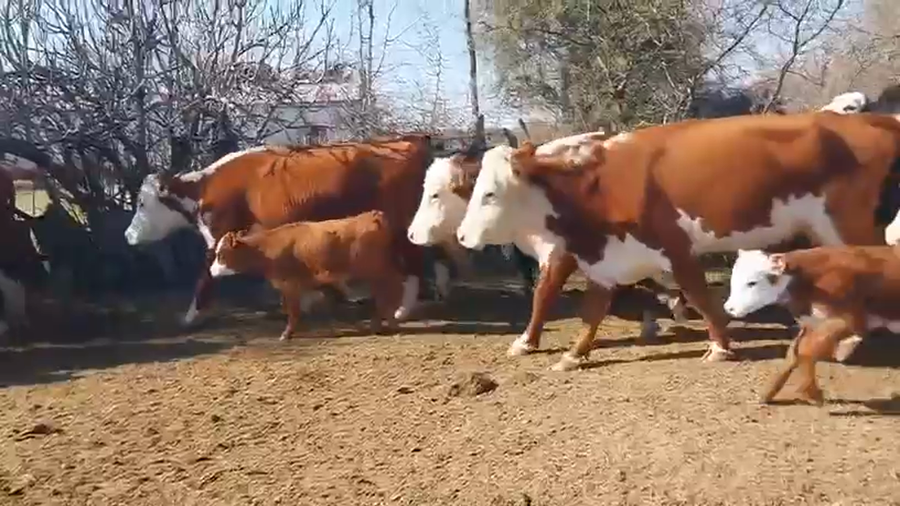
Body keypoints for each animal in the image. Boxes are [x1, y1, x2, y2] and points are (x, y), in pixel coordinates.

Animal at [124, 136, 456, 326]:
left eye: (141, 203)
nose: (128, 235)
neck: (208, 187)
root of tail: (409, 141)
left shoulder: (220, 236)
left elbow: (204, 277)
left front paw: (191, 315)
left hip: (402, 223)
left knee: (415, 259)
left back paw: (404, 309)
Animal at [209, 210, 405, 340]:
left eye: (221, 254)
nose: (210, 271)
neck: (266, 247)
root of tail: (372, 215)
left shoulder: (289, 284)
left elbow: (293, 310)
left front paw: (287, 334)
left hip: (376, 270)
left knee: (391, 289)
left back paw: (388, 323)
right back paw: (382, 323)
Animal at [407, 130, 689, 358]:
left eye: (435, 194)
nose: (411, 234)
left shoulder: (563, 253)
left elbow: (543, 294)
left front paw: (525, 341)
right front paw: (665, 309)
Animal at [455, 111, 900, 371]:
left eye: (489, 193)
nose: (461, 235)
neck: (601, 184)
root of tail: (875, 119)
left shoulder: (675, 247)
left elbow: (699, 295)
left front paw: (720, 346)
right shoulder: (604, 258)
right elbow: (592, 310)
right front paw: (573, 354)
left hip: (848, 223)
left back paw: (850, 339)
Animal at [723, 246, 900, 405]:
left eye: (752, 283)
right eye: (733, 280)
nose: (728, 308)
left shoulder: (850, 321)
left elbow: (806, 352)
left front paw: (811, 394)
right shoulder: (812, 323)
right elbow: (793, 352)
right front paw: (767, 394)